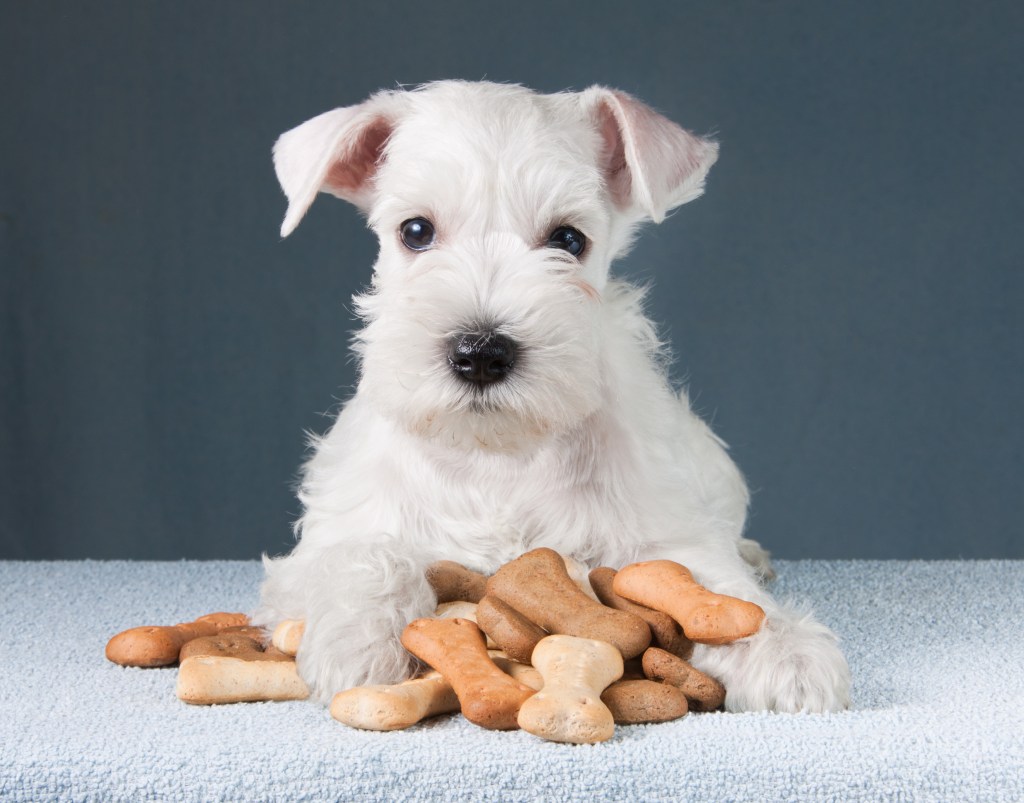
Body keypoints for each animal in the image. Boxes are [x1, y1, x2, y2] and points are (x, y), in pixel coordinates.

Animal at [251, 78, 851, 712]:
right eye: (415, 231)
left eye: (568, 239)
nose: (480, 353)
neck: (498, 456)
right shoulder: (329, 539)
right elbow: (366, 554)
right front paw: (361, 640)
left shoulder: (662, 535)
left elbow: (709, 583)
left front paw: (784, 650)